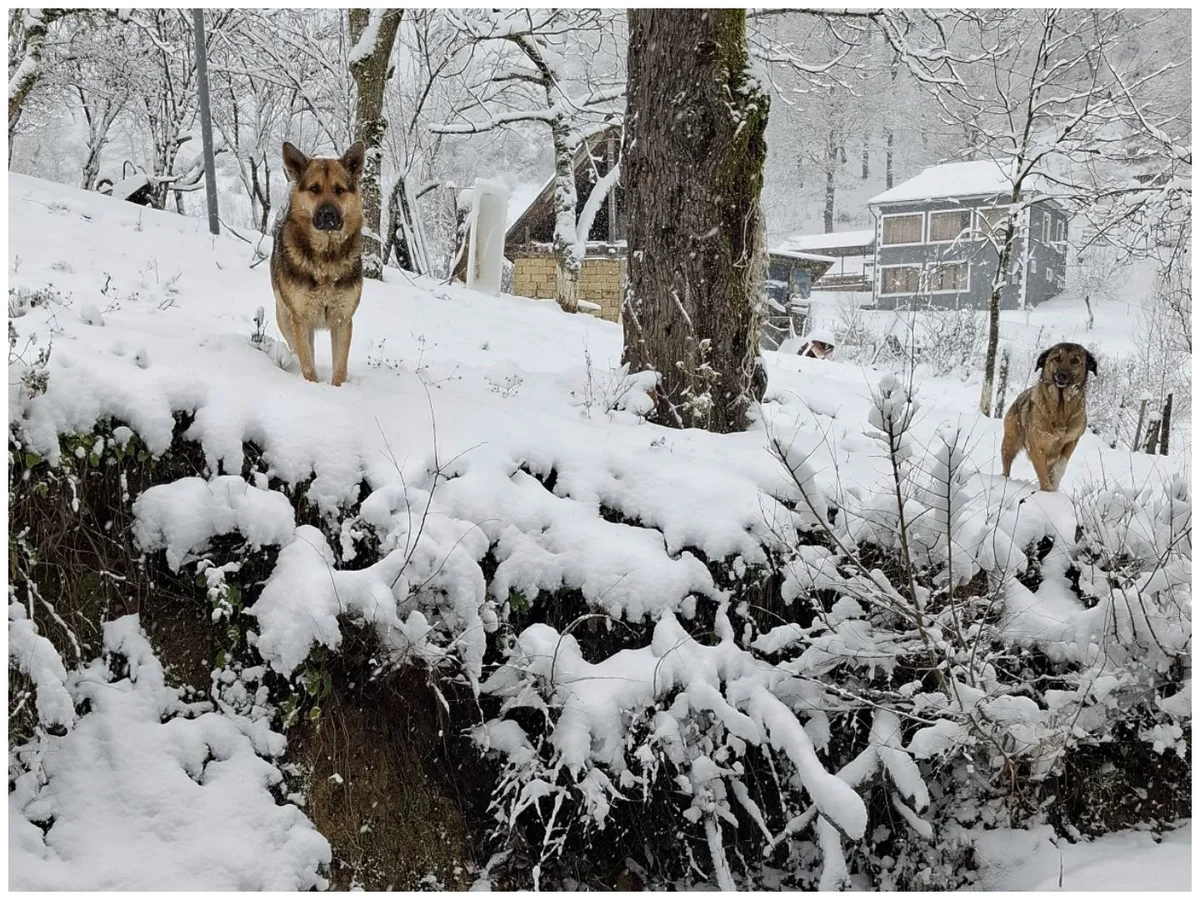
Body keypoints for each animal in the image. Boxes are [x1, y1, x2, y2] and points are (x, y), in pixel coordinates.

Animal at [272, 139, 364, 386]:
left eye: (339, 190)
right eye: (314, 189)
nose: (328, 214)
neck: (326, 260)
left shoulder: (343, 321)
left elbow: (339, 370)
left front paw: (337, 390)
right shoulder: (301, 321)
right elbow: (308, 367)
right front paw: (312, 387)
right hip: (286, 319)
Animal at [998, 340, 1099, 494]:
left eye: (1075, 361)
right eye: (1056, 358)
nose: (1062, 375)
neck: (1060, 410)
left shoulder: (1072, 441)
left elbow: (1060, 466)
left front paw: (1054, 485)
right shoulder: (1037, 448)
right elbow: (1043, 475)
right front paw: (1047, 493)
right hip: (1010, 441)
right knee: (1006, 462)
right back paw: (1004, 479)